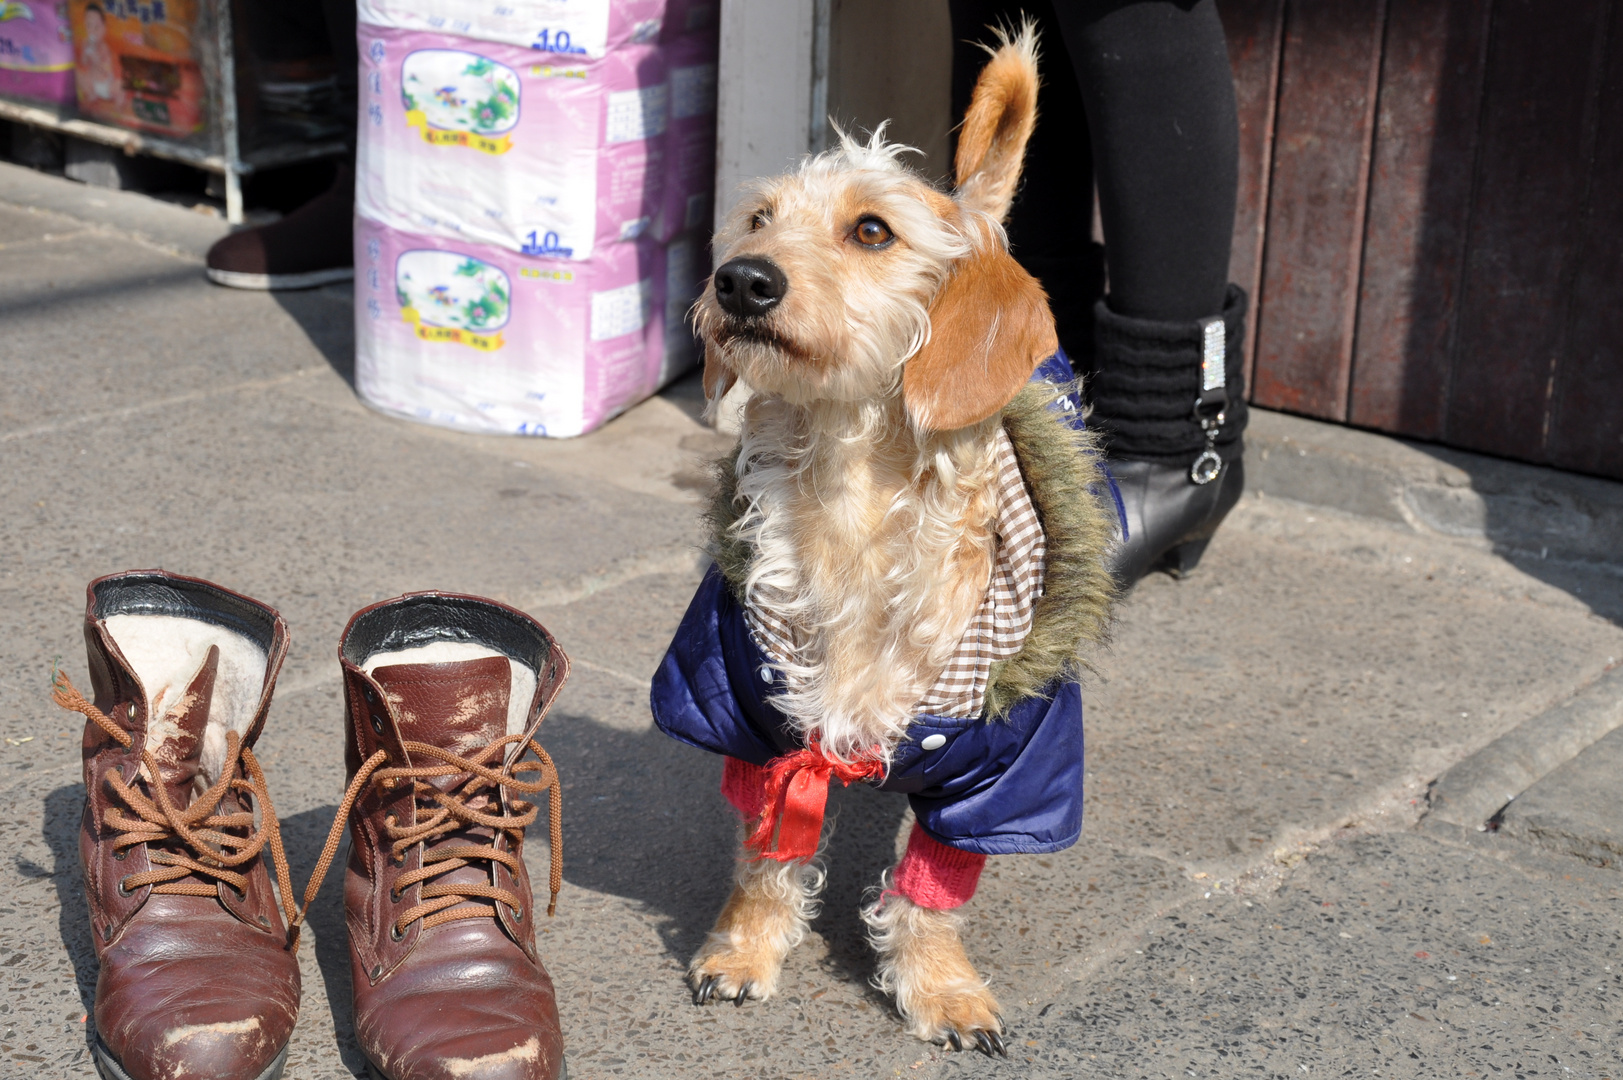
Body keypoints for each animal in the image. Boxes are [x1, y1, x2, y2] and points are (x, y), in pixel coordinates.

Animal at [645, 23, 1116, 1052]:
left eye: (871, 231)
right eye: (756, 219)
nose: (739, 280)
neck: (850, 493)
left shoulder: (1001, 770)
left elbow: (932, 893)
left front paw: (940, 989)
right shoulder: (752, 711)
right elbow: (764, 857)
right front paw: (743, 952)